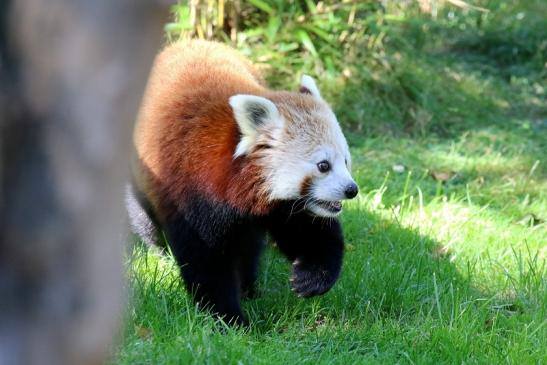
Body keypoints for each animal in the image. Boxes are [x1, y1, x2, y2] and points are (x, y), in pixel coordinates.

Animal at [128, 39, 360, 324]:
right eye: (323, 166)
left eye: (346, 161)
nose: (351, 190)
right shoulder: (192, 192)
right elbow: (207, 261)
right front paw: (228, 319)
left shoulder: (284, 207)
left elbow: (308, 231)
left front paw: (312, 277)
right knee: (145, 219)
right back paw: (160, 252)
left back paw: (250, 287)